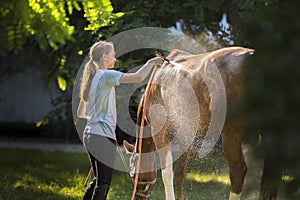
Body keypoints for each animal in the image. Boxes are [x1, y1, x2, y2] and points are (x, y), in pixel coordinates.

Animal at [123, 47, 253, 200]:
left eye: (132, 174)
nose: (136, 197)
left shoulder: (160, 133)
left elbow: (167, 174)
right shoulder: (187, 136)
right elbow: (180, 173)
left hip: (230, 131)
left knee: (237, 169)